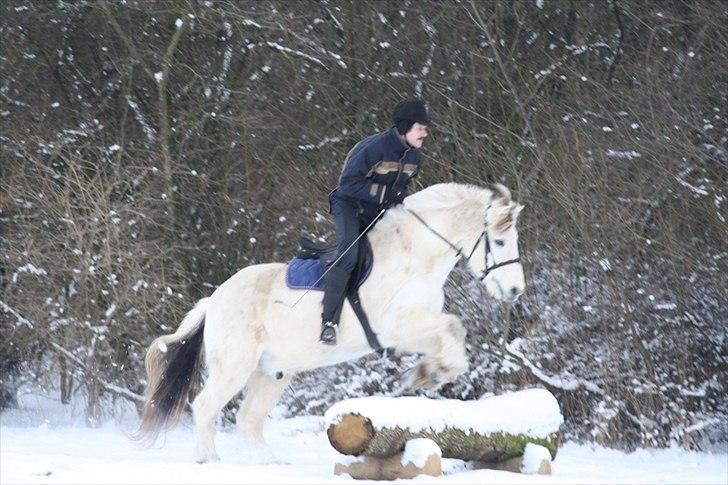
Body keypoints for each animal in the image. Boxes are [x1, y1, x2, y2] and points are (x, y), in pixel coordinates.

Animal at [134, 182, 528, 462]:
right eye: (500, 241)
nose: (515, 291)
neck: (415, 257)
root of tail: (214, 300)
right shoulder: (397, 326)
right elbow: (454, 327)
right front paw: (432, 373)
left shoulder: (411, 330)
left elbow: (451, 335)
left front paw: (428, 373)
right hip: (235, 365)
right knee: (206, 407)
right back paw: (208, 461)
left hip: (272, 372)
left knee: (248, 420)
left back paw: (272, 465)